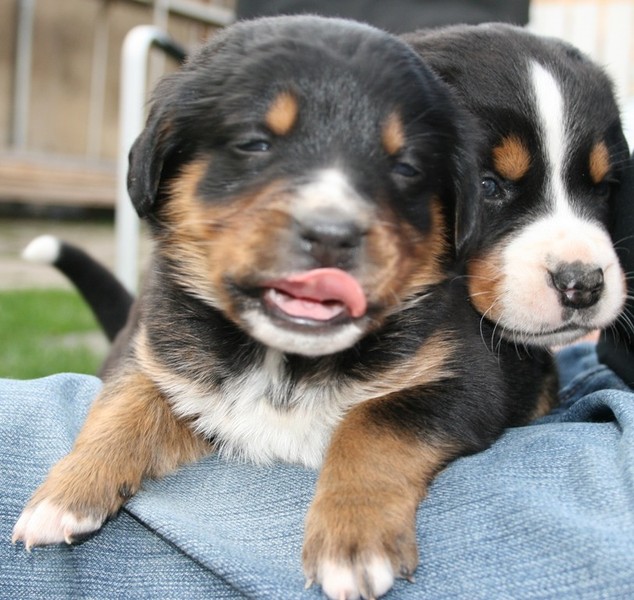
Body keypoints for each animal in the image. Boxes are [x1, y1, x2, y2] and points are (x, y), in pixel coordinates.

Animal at [14, 16, 556, 600]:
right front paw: (65, 492)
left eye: (406, 167)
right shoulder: (166, 360)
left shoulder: (465, 380)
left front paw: (352, 539)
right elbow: (124, 403)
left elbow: (372, 423)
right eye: (256, 143)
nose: (332, 236)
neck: (285, 362)